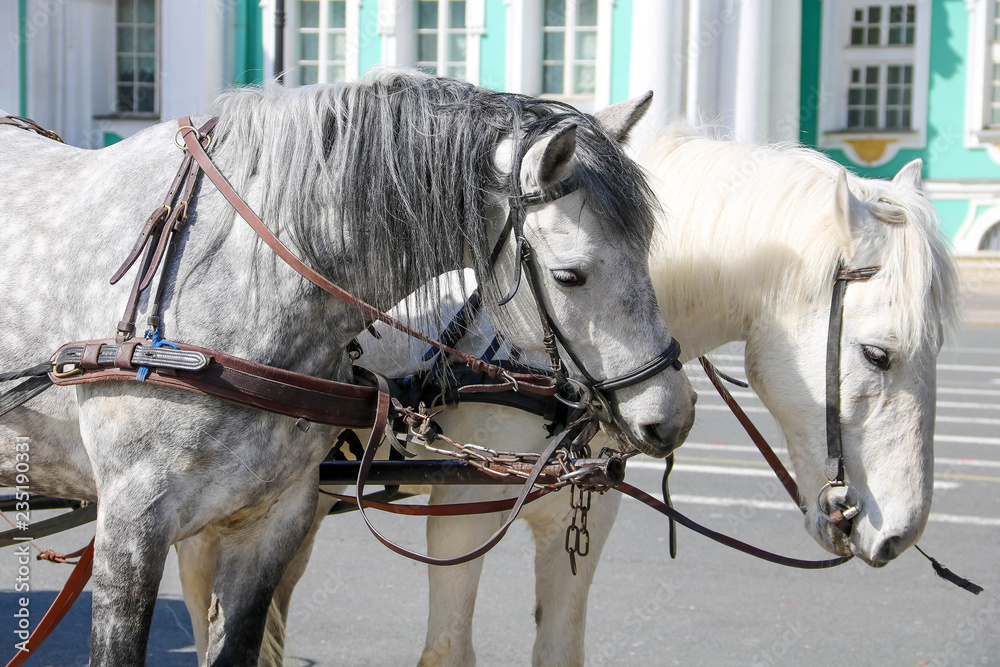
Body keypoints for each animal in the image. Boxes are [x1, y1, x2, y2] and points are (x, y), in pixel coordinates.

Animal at [178, 125, 960, 667]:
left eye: (942, 345)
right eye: (877, 353)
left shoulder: (584, 515)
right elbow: (447, 651)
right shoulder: (461, 508)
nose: (900, 532)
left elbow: (559, 649)